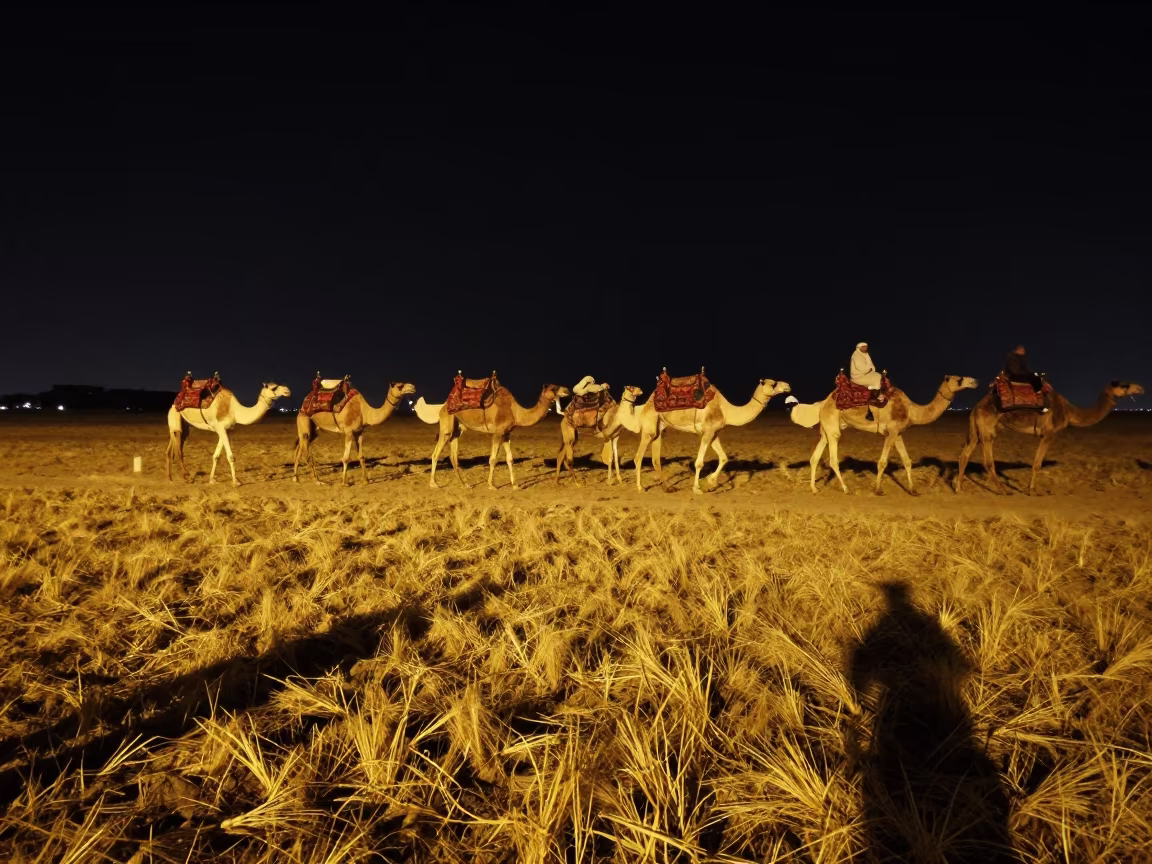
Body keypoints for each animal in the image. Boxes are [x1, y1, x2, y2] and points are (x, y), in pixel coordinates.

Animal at [414, 380, 571, 489]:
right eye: (553, 388)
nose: (567, 389)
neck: (516, 412)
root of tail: (442, 407)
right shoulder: (497, 433)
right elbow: (493, 459)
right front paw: (491, 485)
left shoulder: (507, 434)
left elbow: (510, 459)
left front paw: (515, 485)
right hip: (447, 425)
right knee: (436, 453)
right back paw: (434, 484)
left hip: (457, 429)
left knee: (454, 457)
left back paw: (464, 485)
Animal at [633, 378, 791, 494]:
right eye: (773, 383)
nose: (788, 386)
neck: (726, 410)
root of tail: (648, 402)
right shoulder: (707, 432)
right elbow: (699, 463)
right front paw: (697, 488)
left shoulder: (714, 433)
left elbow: (724, 457)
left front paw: (711, 481)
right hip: (649, 428)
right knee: (638, 457)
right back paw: (640, 487)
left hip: (659, 428)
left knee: (656, 459)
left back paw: (668, 488)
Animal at [789, 375, 978, 495]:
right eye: (959, 379)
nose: (974, 381)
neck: (912, 410)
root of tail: (822, 403)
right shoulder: (891, 432)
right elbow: (882, 462)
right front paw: (878, 489)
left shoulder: (899, 433)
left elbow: (907, 461)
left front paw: (913, 490)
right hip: (832, 425)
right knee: (834, 459)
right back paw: (846, 489)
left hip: (826, 428)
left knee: (815, 457)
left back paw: (814, 489)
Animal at [955, 380, 1144, 494]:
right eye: (1125, 385)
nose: (1141, 388)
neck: (1069, 412)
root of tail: (976, 407)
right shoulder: (1048, 434)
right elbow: (1037, 464)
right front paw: (1031, 490)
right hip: (988, 430)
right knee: (987, 461)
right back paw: (1003, 490)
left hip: (976, 430)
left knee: (964, 455)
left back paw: (959, 488)